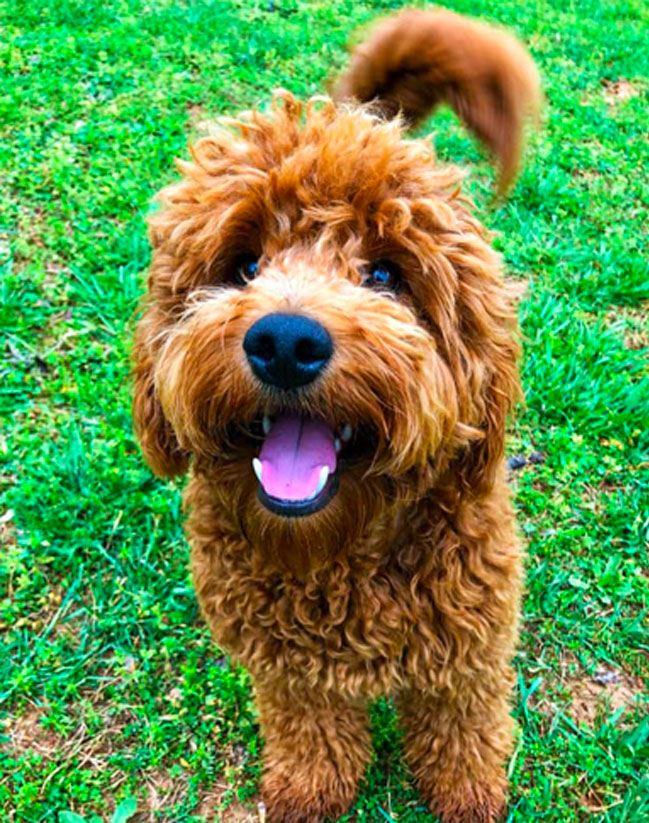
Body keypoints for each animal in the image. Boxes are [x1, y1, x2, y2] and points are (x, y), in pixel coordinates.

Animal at [130, 8, 536, 823]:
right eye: (244, 264)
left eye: (384, 274)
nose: (285, 342)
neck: (338, 549)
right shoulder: (284, 666)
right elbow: (309, 726)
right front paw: (308, 790)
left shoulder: (471, 641)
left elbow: (463, 722)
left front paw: (469, 793)